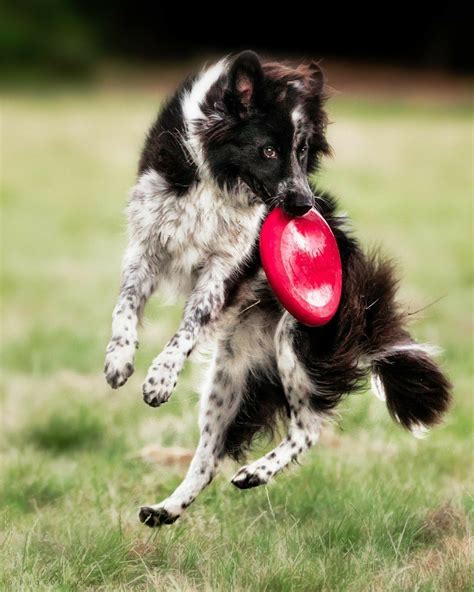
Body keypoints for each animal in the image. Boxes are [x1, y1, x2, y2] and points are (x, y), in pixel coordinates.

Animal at [103, 49, 452, 524]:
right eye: (268, 150)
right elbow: (125, 306)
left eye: (303, 150)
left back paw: (257, 472)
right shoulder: (148, 244)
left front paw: (160, 377)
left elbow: (189, 325)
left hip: (296, 343)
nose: (304, 206)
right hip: (229, 372)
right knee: (208, 457)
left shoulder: (224, 269)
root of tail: (362, 299)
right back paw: (166, 509)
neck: (217, 179)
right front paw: (119, 361)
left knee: (308, 426)